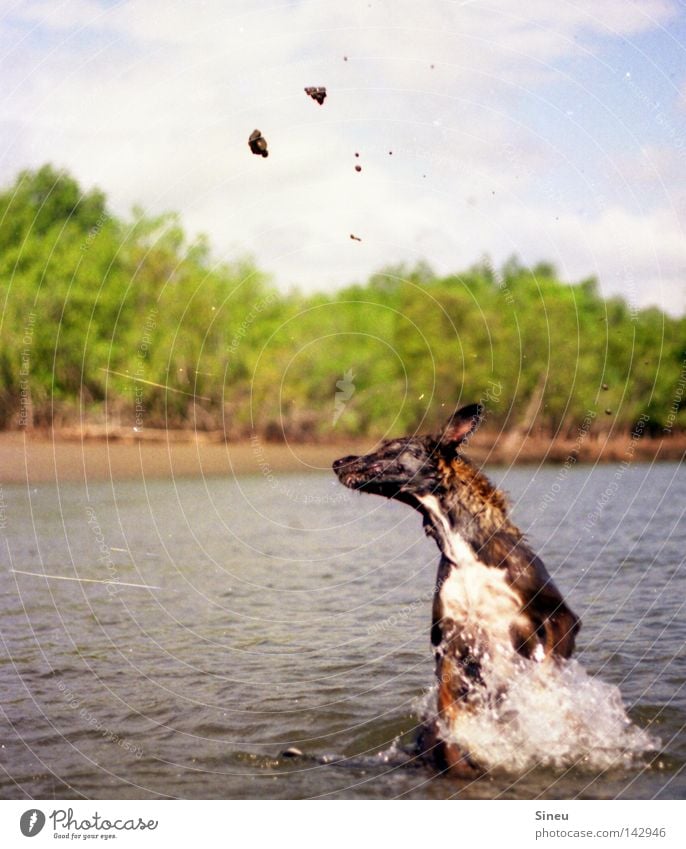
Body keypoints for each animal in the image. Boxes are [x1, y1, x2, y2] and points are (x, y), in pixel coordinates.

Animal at [336, 404, 584, 776]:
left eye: (389, 446)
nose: (338, 461)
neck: (464, 550)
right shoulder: (449, 639)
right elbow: (447, 706)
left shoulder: (558, 616)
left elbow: (546, 673)